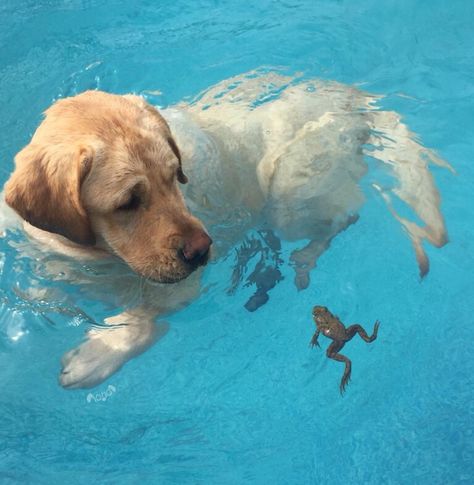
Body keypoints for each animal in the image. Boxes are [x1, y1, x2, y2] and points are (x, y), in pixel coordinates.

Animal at [0, 70, 452, 390]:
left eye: (175, 175)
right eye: (128, 201)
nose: (204, 250)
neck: (93, 252)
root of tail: (354, 97)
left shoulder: (179, 286)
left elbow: (143, 316)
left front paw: (99, 354)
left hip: (289, 196)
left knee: (344, 217)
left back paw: (304, 258)